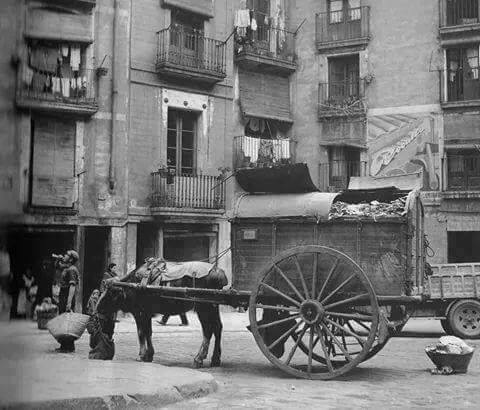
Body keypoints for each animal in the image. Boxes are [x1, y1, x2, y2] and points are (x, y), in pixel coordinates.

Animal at [95, 262, 229, 370]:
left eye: (110, 292)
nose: (97, 308)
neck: (133, 284)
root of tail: (219, 272)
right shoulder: (147, 314)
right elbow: (148, 332)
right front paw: (149, 355)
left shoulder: (140, 313)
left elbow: (141, 333)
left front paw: (142, 355)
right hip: (213, 307)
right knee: (218, 327)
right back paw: (215, 359)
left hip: (204, 308)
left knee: (208, 330)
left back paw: (198, 359)